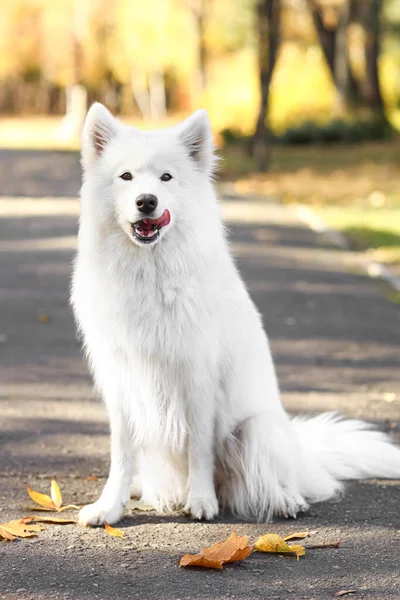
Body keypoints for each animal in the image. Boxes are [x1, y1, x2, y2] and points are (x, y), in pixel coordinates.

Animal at [72, 104, 400, 524]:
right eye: (125, 177)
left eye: (166, 177)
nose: (146, 201)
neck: (149, 272)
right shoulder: (122, 381)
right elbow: (122, 454)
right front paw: (110, 507)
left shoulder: (198, 377)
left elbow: (199, 448)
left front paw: (201, 501)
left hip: (256, 430)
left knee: (270, 481)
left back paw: (285, 500)